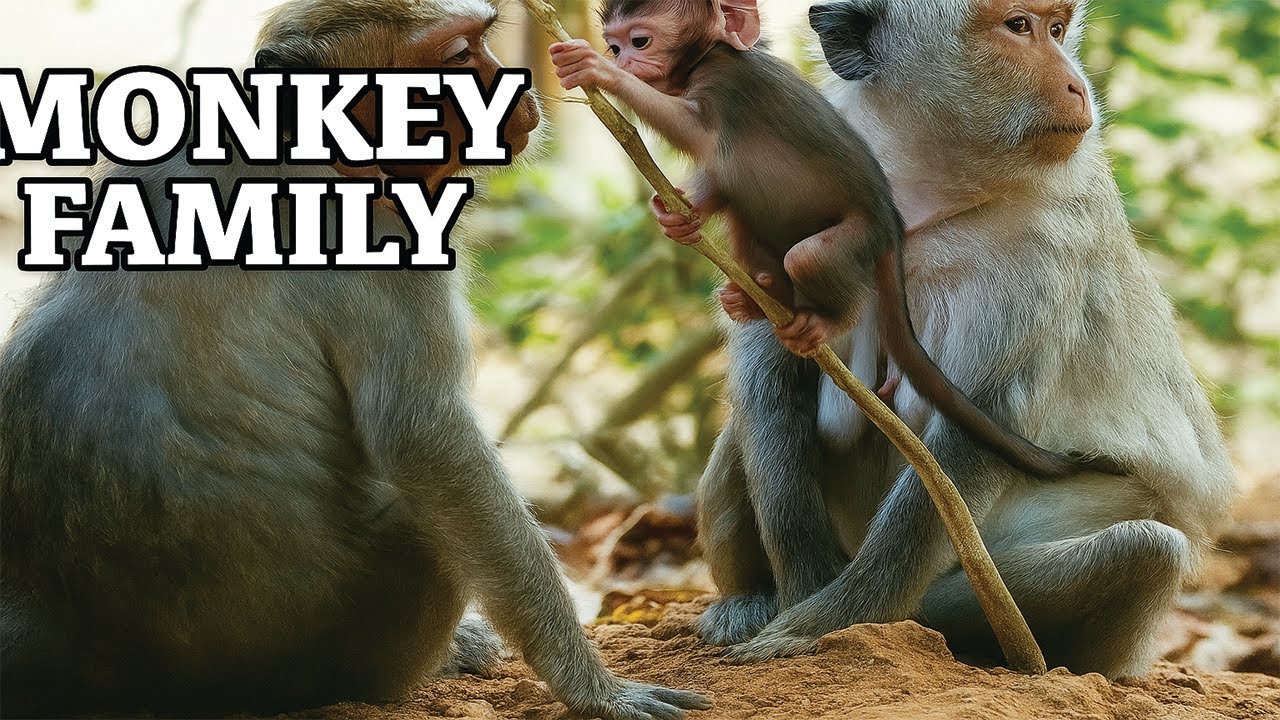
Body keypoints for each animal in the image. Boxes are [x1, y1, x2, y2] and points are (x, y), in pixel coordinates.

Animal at [0, 2, 710, 718]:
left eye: (483, 39)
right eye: (458, 57)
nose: (519, 88)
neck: (302, 139)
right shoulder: (385, 236)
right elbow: (428, 440)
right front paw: (590, 685)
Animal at [547, 0, 1124, 631]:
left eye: (640, 41)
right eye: (618, 41)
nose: (622, 59)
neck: (709, 58)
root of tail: (891, 228)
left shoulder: (728, 84)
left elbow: (700, 132)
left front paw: (600, 76)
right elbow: (718, 179)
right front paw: (681, 214)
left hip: (857, 240)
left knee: (808, 252)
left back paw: (818, 319)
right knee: (747, 205)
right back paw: (755, 296)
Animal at [653, 0, 1236, 679]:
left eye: (1056, 29)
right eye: (1019, 28)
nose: (1077, 83)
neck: (917, 193)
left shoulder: (1044, 245)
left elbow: (976, 423)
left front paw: (819, 621)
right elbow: (768, 361)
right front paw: (799, 579)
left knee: (1145, 550)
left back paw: (960, 636)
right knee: (744, 429)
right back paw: (749, 600)